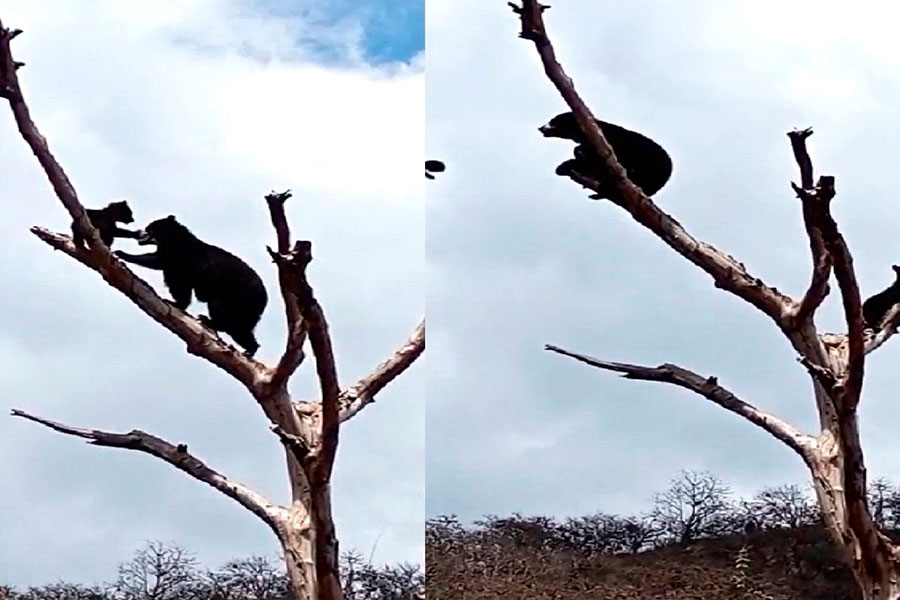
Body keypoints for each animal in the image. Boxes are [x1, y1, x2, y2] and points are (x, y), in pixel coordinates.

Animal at [113, 216, 268, 356]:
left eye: (149, 229)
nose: (140, 234)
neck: (174, 237)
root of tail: (264, 299)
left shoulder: (179, 259)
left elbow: (159, 263)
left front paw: (122, 253)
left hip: (237, 298)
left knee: (223, 312)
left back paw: (210, 322)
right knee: (241, 329)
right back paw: (250, 349)